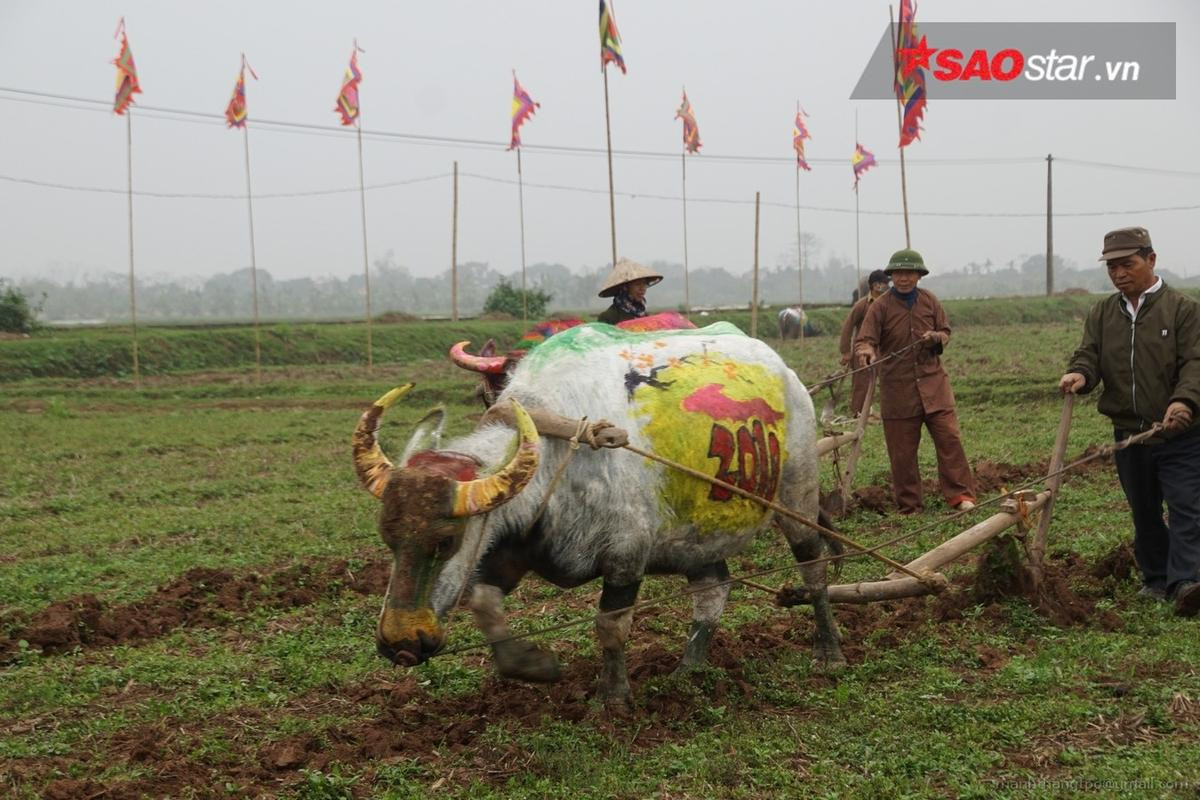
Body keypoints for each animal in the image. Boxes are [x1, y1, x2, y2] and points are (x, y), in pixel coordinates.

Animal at [355, 321, 844, 705]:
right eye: (388, 538)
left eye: (445, 541)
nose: (400, 644)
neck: (560, 449)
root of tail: (787, 373)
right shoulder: (511, 547)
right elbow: (484, 604)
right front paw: (533, 665)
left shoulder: (626, 557)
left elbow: (611, 626)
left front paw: (612, 697)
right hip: (696, 538)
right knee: (714, 590)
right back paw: (687, 671)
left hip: (798, 495)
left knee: (813, 568)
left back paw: (829, 650)